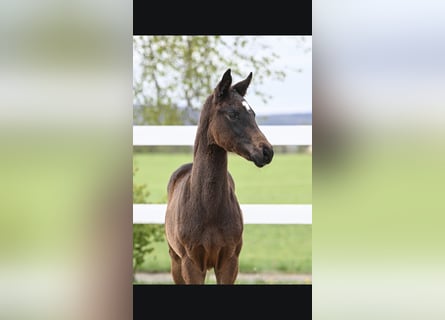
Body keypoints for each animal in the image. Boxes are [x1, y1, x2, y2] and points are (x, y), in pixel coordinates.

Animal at [164, 69, 272, 284]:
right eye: (233, 114)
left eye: (253, 114)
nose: (267, 151)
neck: (208, 207)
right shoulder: (191, 264)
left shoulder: (229, 262)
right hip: (175, 261)